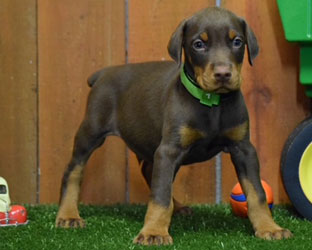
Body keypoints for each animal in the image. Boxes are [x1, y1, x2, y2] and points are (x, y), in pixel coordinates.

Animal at [55, 6, 292, 245]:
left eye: (237, 42)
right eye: (199, 44)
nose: (223, 74)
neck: (212, 104)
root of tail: (103, 73)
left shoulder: (243, 148)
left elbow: (256, 192)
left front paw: (269, 227)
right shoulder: (169, 149)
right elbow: (160, 195)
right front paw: (154, 232)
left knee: (151, 171)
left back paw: (177, 207)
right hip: (91, 131)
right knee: (73, 170)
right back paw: (68, 215)